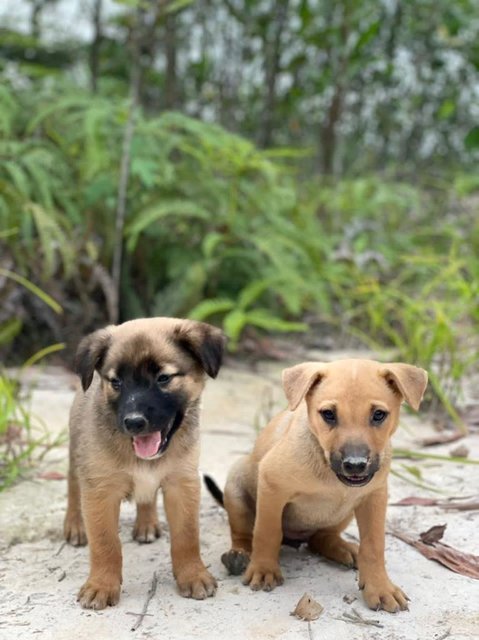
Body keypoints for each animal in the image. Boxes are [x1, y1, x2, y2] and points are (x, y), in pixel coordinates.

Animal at [63, 318, 227, 608]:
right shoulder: (100, 490)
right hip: (76, 454)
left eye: (163, 378)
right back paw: (75, 525)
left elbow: (187, 536)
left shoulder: (182, 483)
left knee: (146, 496)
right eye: (116, 382)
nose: (134, 422)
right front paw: (101, 585)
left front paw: (193, 575)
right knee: (73, 487)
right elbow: (105, 542)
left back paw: (147, 523)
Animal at [214, 358, 428, 612]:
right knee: (243, 532)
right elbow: (267, 532)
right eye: (328, 414)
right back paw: (238, 556)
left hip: (344, 513)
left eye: (378, 415)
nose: (355, 465)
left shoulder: (374, 497)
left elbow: (374, 546)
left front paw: (380, 587)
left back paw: (343, 548)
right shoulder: (271, 485)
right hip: (235, 484)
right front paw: (264, 568)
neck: (330, 474)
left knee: (321, 537)